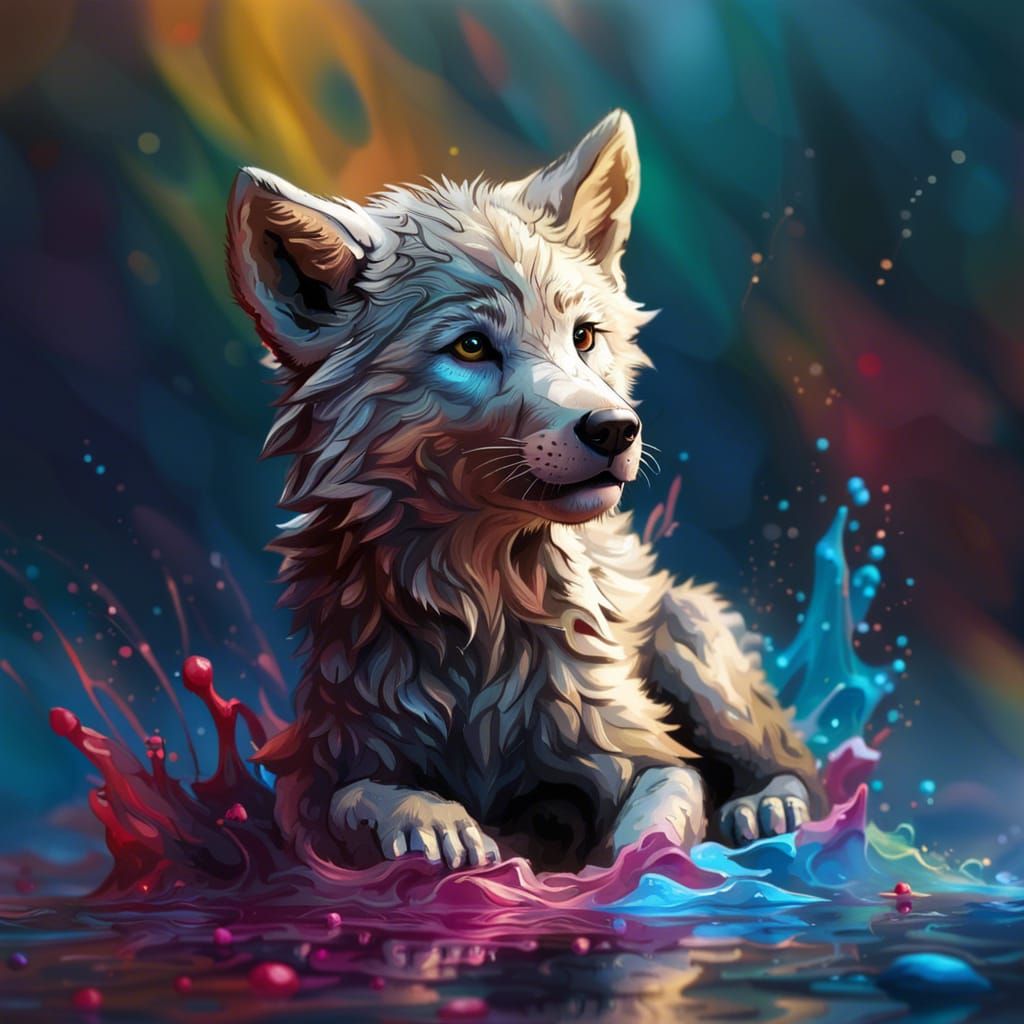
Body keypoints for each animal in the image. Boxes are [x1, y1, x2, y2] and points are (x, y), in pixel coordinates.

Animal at [225, 110, 827, 873]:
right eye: (471, 347)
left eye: (584, 336)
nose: (615, 430)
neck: (484, 609)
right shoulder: (327, 762)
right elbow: (363, 797)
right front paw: (438, 825)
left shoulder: (641, 748)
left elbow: (659, 808)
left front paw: (635, 866)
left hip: (696, 645)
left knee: (795, 763)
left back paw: (767, 808)